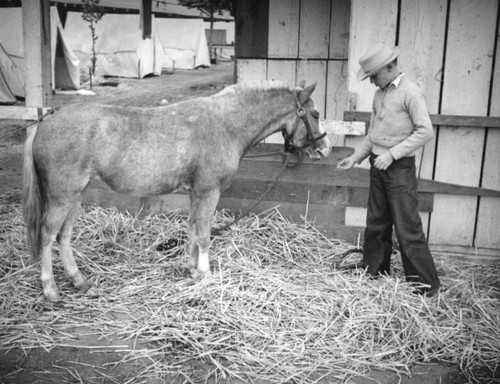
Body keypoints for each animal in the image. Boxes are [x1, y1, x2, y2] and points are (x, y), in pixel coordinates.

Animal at [23, 80, 330, 300]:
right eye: (315, 114)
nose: (324, 148)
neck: (225, 124)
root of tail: (44, 122)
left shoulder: (197, 193)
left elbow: (193, 229)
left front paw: (192, 270)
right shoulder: (208, 191)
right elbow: (204, 234)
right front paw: (205, 273)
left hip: (75, 196)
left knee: (64, 237)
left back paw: (78, 280)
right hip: (61, 197)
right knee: (47, 237)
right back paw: (50, 290)